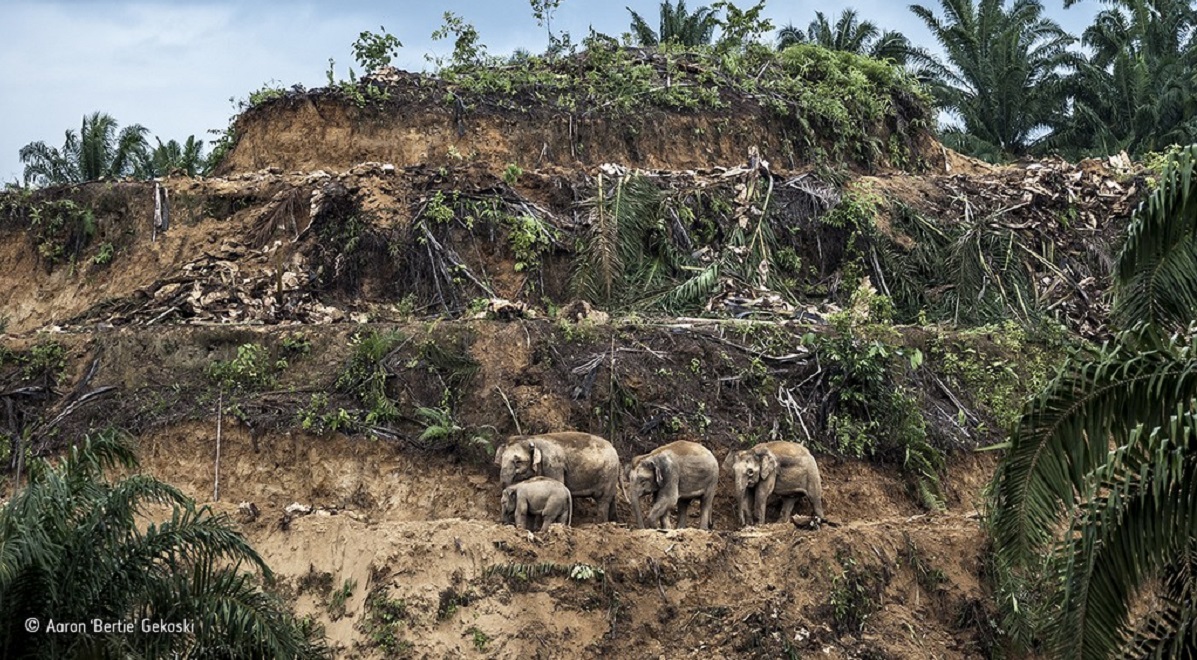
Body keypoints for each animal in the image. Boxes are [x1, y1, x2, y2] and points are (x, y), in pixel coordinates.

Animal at [493, 431, 622, 524]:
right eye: (502, 459)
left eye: (518, 462)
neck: (532, 438)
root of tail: (615, 450)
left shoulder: (553, 465)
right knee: (611, 498)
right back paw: (614, 521)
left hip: (608, 473)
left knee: (603, 499)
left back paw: (601, 524)